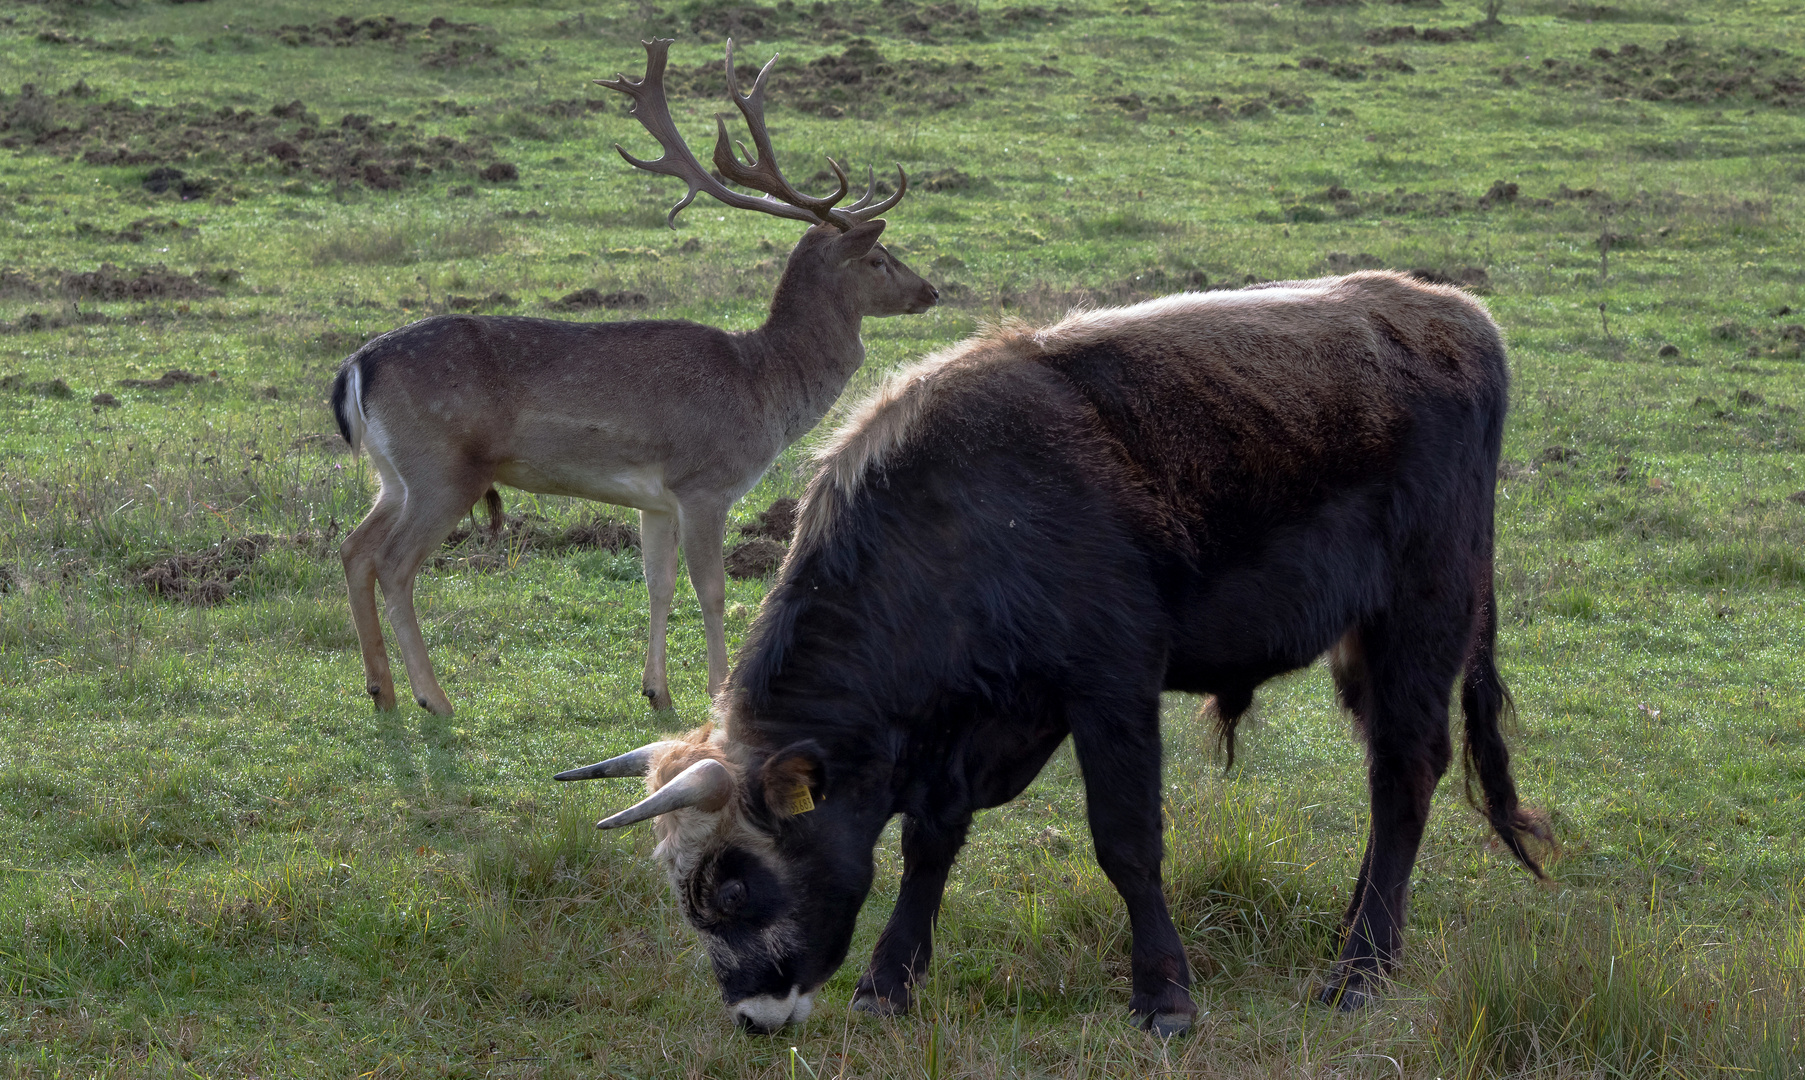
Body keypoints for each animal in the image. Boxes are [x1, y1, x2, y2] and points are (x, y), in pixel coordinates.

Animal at [555, 270, 1545, 1033]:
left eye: (728, 886)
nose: (754, 1017)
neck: (959, 515)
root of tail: (1451, 315)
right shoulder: (977, 721)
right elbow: (929, 840)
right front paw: (888, 982)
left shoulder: (1112, 687)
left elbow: (1127, 843)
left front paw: (1163, 996)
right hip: (1362, 649)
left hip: (1419, 620)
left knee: (1403, 775)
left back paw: (1361, 968)